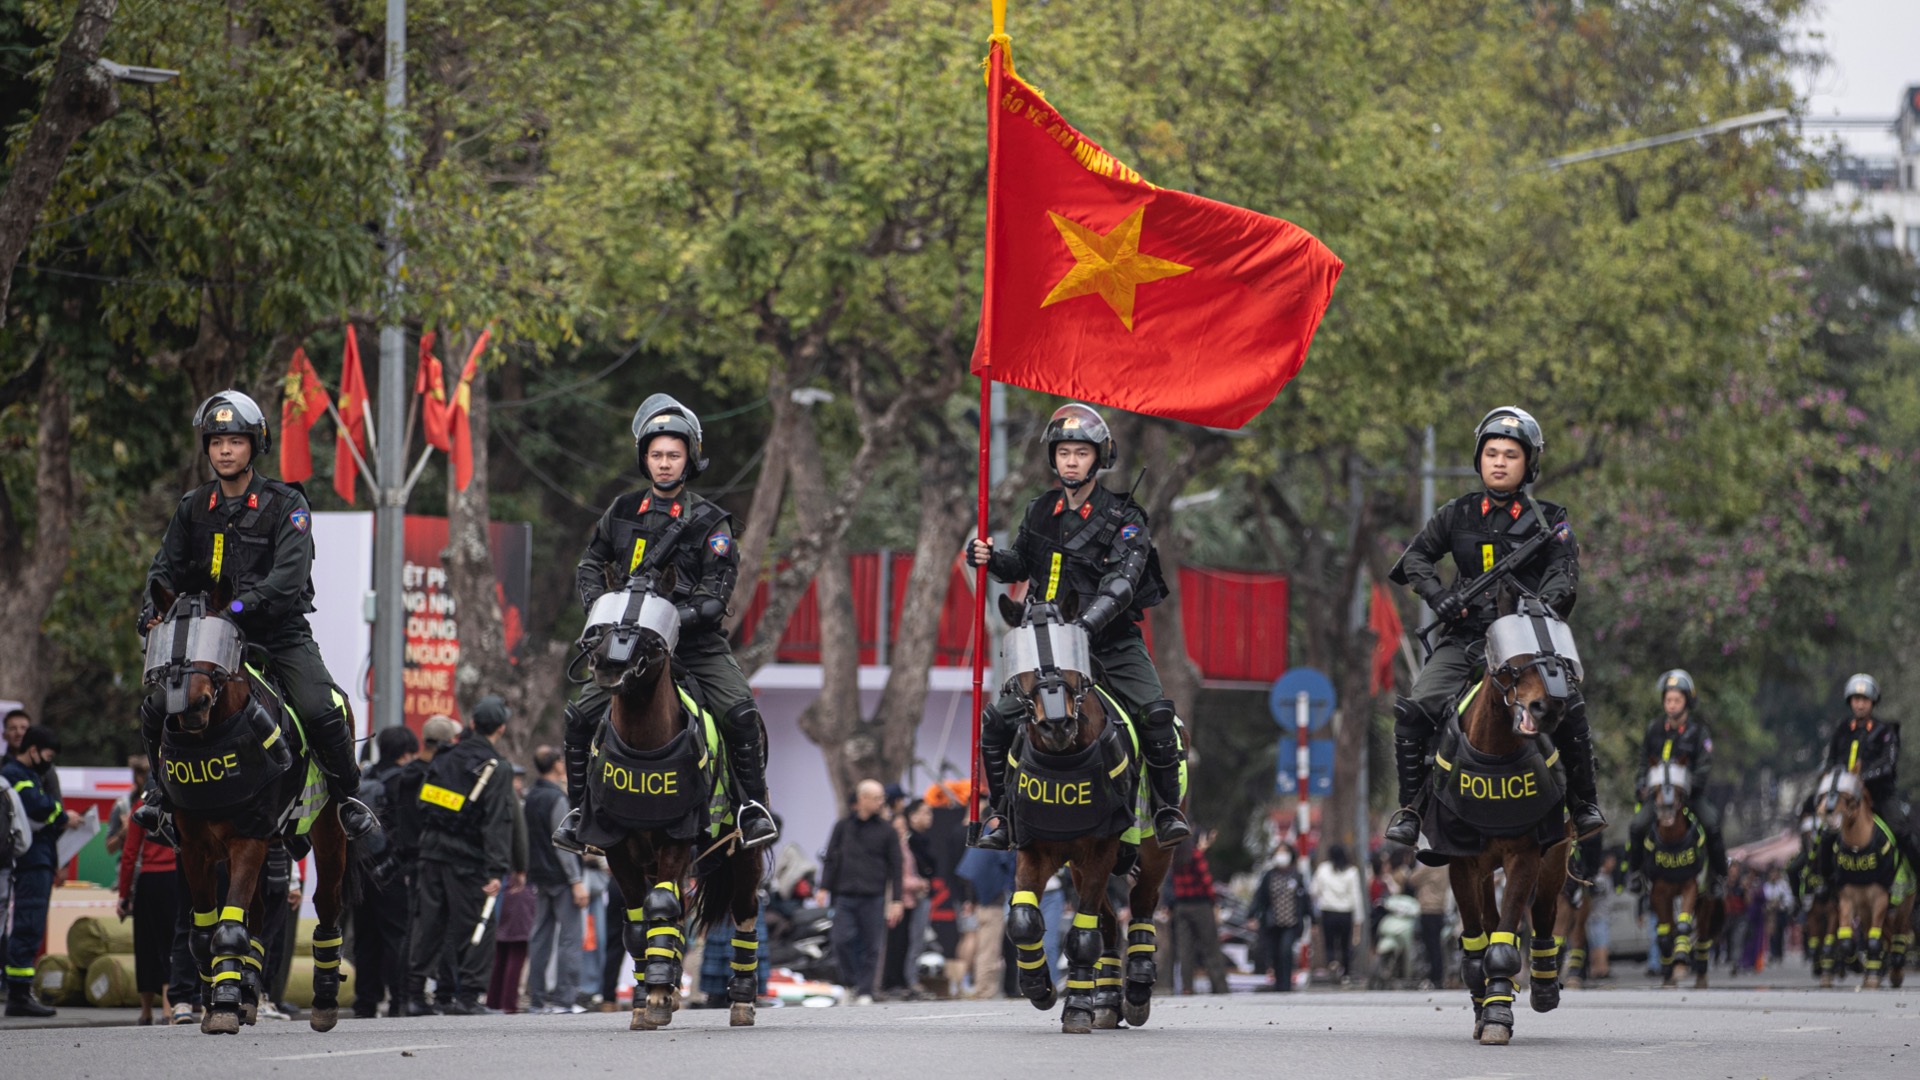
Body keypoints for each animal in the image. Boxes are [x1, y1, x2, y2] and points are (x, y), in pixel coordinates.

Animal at [144, 580, 359, 1037]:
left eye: (219, 638)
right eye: (163, 639)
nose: (189, 704)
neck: (212, 737)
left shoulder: (248, 838)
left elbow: (228, 928)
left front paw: (223, 1004)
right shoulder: (196, 848)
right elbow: (205, 933)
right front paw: (218, 998)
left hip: (328, 833)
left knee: (326, 904)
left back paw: (324, 999)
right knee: (258, 915)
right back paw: (246, 991)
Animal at [572, 564, 760, 1022]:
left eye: (647, 628)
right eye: (602, 620)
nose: (609, 666)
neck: (643, 745)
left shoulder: (677, 836)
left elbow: (659, 904)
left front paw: (657, 995)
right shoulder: (616, 845)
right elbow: (639, 921)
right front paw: (647, 997)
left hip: (742, 851)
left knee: (744, 912)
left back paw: (741, 998)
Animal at [998, 591, 1175, 1030]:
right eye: (1022, 665)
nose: (1056, 725)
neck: (1065, 760)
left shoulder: (1101, 849)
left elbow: (1081, 937)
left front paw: (1076, 1007)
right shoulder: (1036, 849)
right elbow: (1024, 920)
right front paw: (1040, 987)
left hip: (1153, 850)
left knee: (1141, 906)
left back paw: (1136, 990)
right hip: (1076, 867)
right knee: (1109, 923)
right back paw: (1108, 1000)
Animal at [1643, 757, 1735, 983]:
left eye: (1677, 787)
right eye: (1655, 787)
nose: (1666, 809)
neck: (1672, 840)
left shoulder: (1691, 886)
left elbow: (1684, 926)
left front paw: (1681, 960)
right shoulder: (1658, 893)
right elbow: (1666, 934)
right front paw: (1670, 969)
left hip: (1707, 899)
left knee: (1702, 934)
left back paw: (1698, 969)